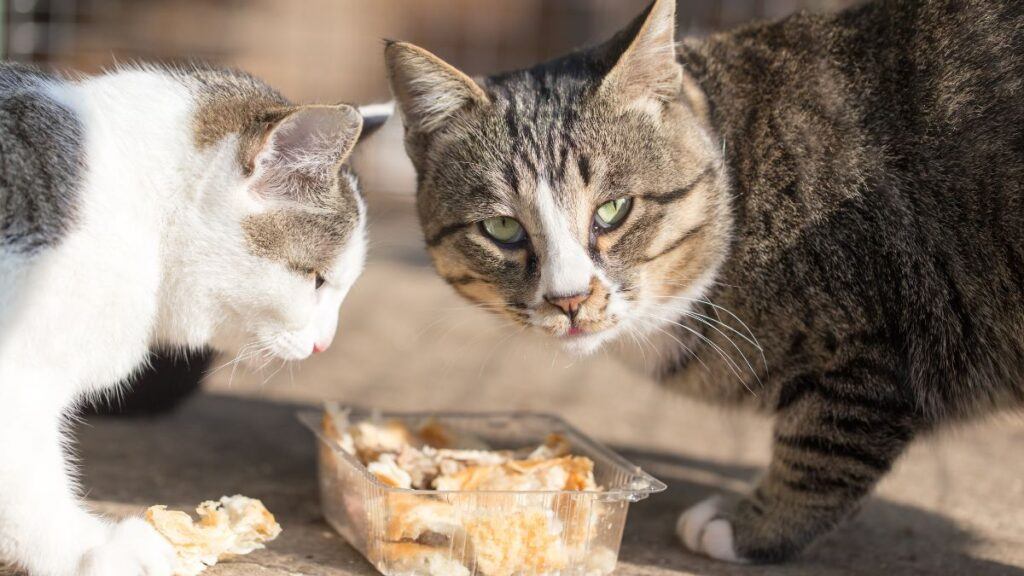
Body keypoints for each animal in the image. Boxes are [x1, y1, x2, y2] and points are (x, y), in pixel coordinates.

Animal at [385, 0, 1024, 561]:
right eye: (502, 228)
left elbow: (824, 443)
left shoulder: (871, 336)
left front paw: (751, 529)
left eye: (613, 210)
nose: (570, 300)